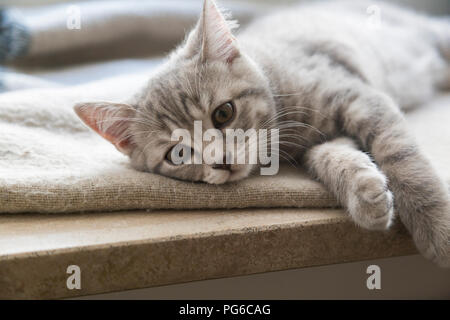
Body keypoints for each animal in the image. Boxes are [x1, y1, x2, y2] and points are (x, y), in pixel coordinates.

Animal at [74, 0, 450, 264]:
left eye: (223, 113)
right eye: (177, 154)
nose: (222, 161)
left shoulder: (359, 96)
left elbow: (402, 156)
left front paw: (436, 225)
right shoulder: (322, 139)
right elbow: (332, 155)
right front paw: (366, 195)